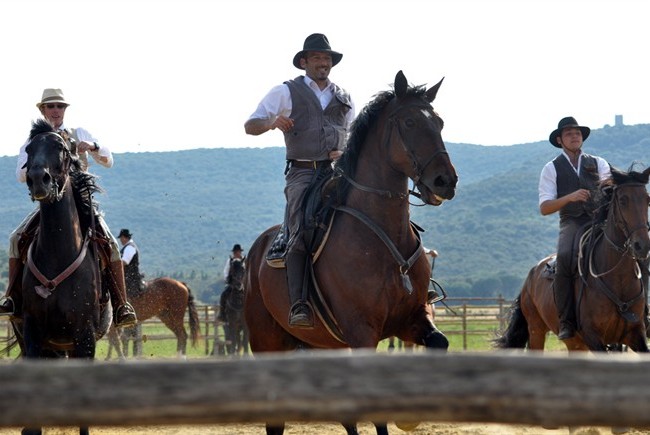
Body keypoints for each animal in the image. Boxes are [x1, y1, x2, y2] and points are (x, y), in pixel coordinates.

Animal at [244, 71, 457, 435]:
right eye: (410, 121)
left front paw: (411, 415)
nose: (446, 180)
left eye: (439, 122)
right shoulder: (362, 331)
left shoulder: (412, 318)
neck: (384, 234)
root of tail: (256, 252)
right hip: (266, 342)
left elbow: (439, 343)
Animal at [495, 165, 650, 353]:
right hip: (536, 330)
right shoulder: (592, 337)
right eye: (622, 200)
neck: (617, 277)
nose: (642, 245)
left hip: (575, 343)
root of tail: (531, 275)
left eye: (647, 199)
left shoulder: (635, 334)